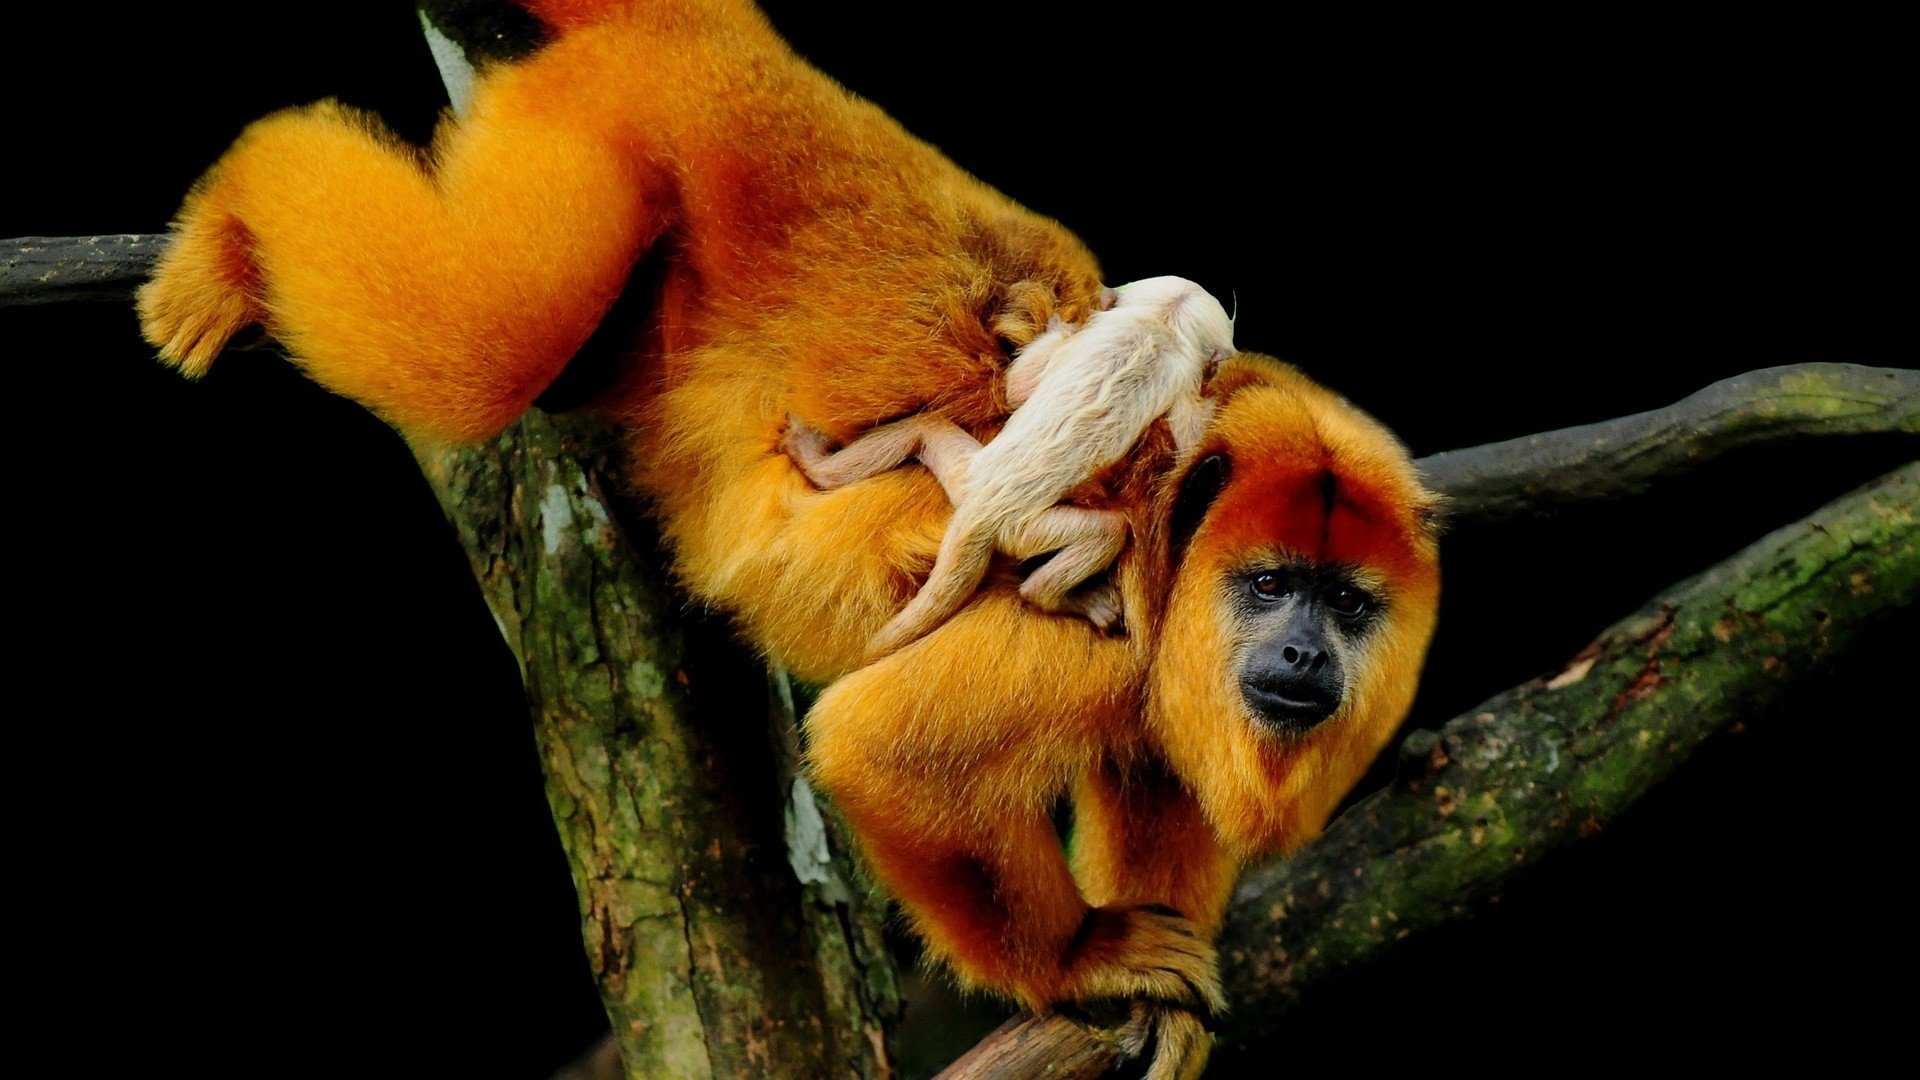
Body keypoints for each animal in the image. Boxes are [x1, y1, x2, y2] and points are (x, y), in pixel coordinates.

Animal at [781, 275, 1235, 658]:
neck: (1163, 320)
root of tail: (976, 514)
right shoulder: (1179, 376)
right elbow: (1185, 442)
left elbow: (1017, 389)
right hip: (1021, 531)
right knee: (1107, 531)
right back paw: (1051, 595)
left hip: (965, 473)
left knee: (926, 428)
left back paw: (814, 462)